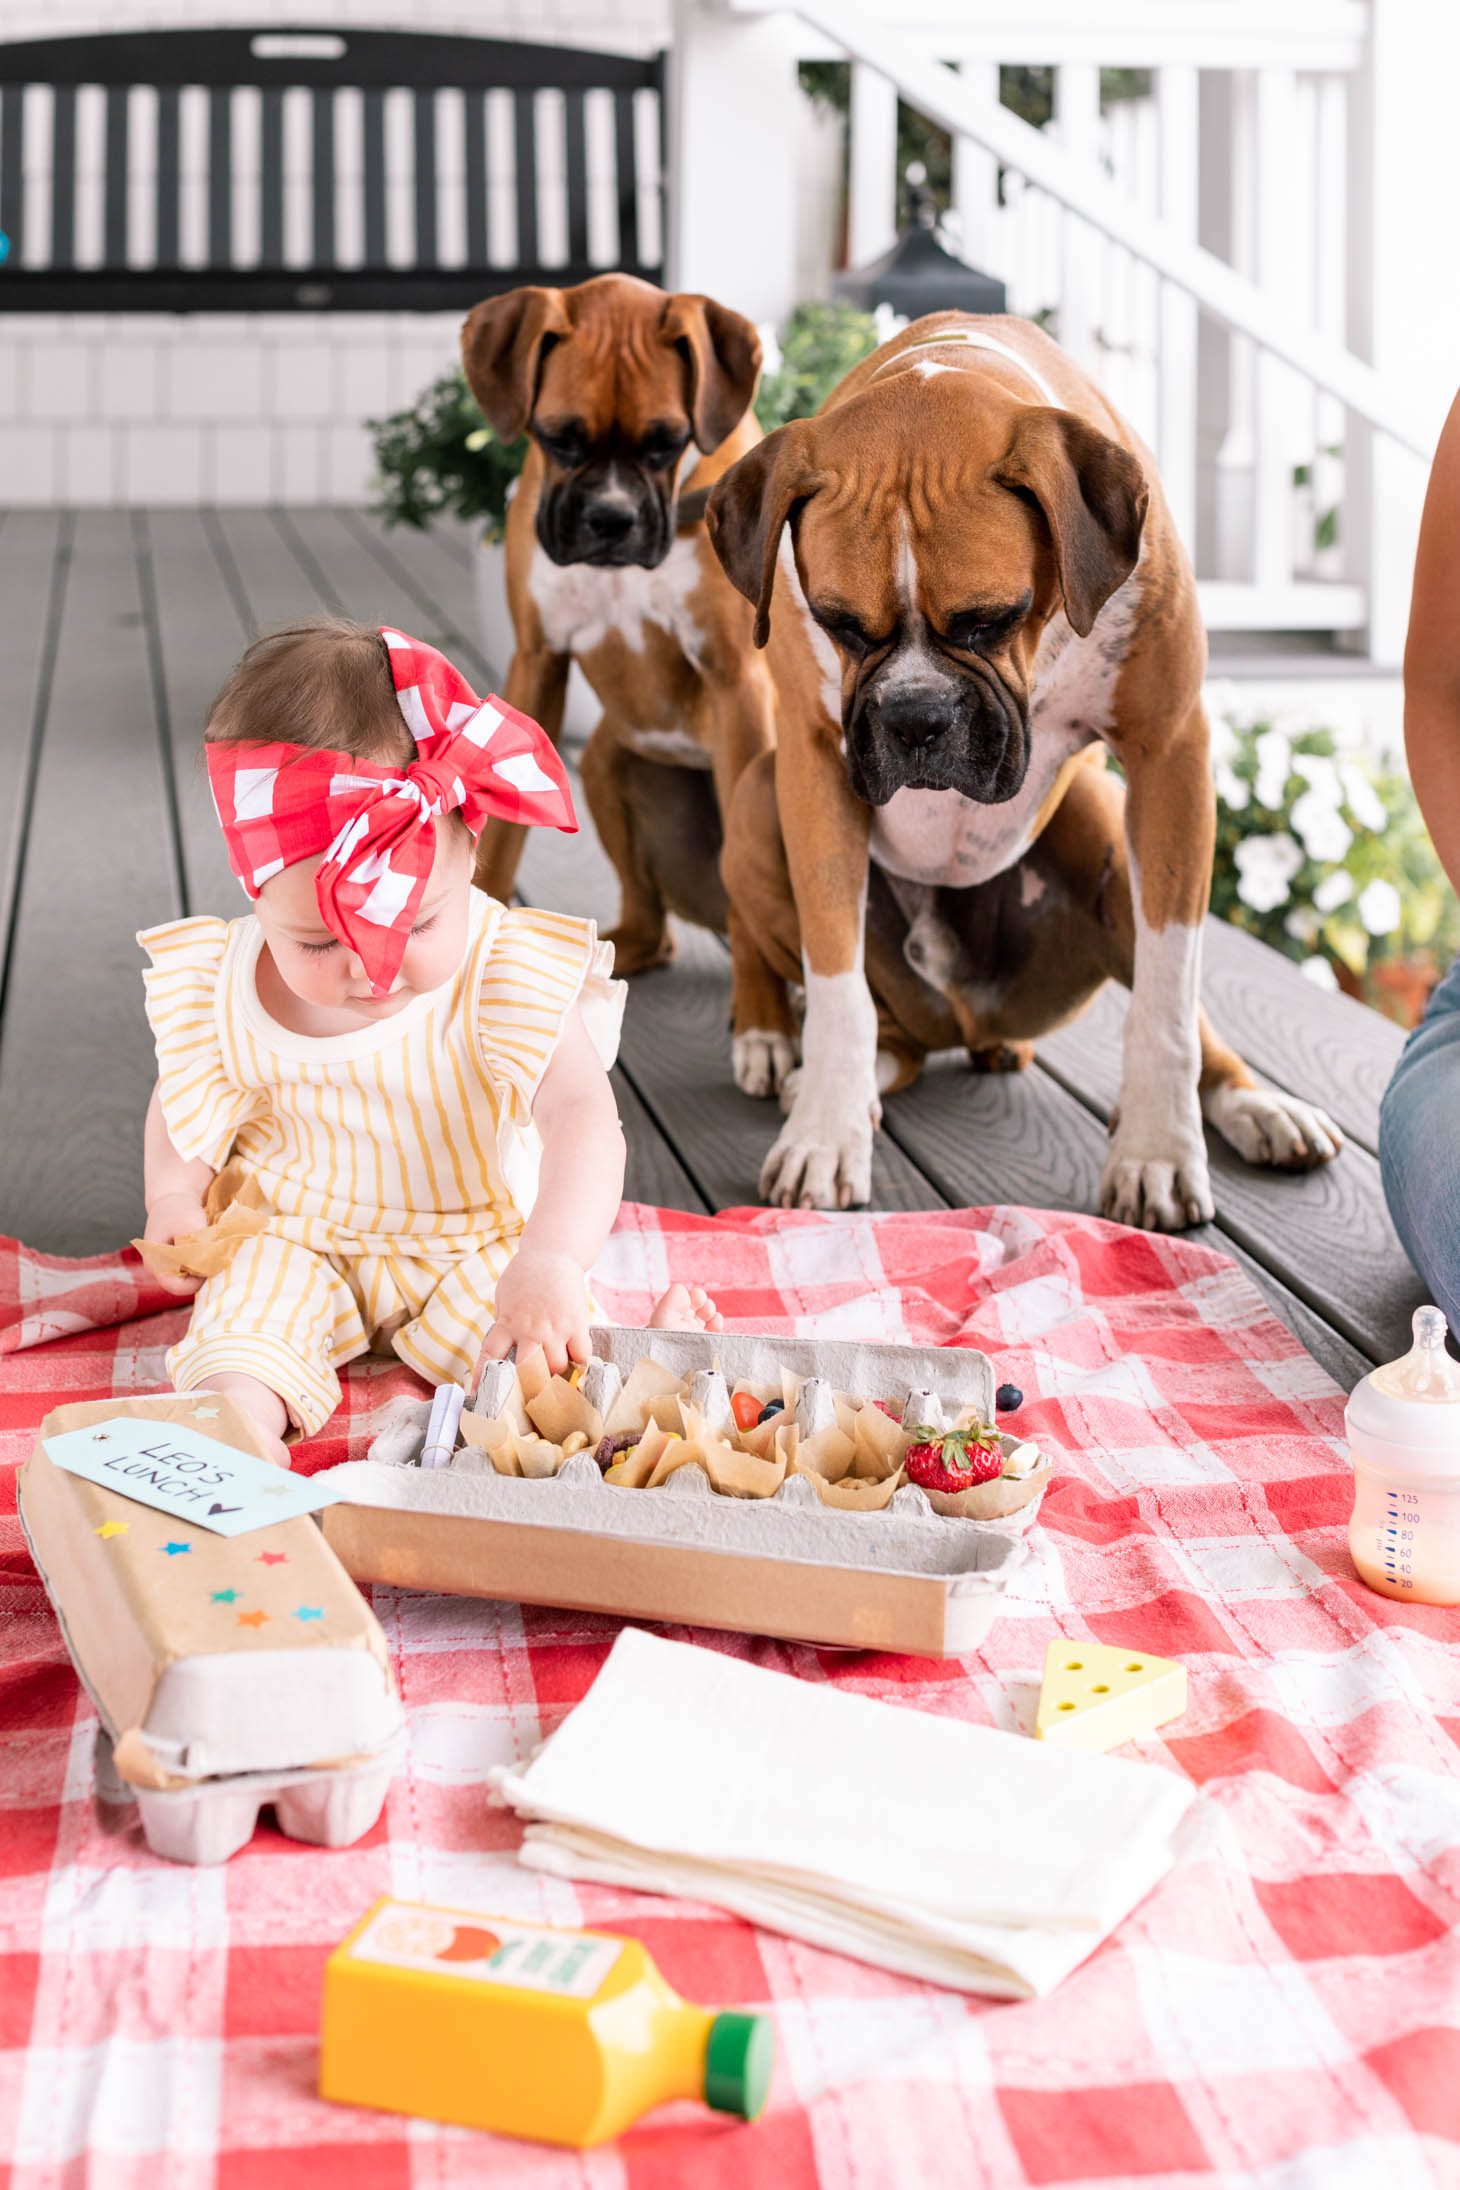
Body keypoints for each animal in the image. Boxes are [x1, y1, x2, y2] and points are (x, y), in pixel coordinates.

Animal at [461, 273, 792, 1095]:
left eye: (666, 442)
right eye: (559, 438)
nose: (609, 519)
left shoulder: (739, 688)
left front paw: (765, 1030)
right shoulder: (537, 663)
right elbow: (502, 844)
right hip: (609, 764)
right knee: (653, 929)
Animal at [704, 317, 1339, 1226]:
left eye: (990, 620)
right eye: (840, 625)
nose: (915, 717)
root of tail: (971, 1024)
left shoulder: (1170, 755)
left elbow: (1168, 995)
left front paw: (1157, 1150)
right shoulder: (814, 765)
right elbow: (835, 983)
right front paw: (825, 1129)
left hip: (1105, 819)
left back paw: (1256, 1105)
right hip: (763, 797)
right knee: (862, 1011)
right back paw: (785, 1048)